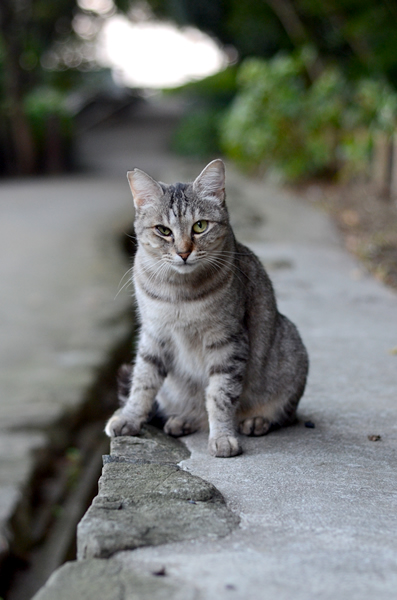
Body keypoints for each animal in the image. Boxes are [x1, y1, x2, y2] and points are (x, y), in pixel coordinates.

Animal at [103, 159, 308, 460]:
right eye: (163, 230)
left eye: (200, 226)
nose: (183, 252)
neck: (178, 292)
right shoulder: (153, 335)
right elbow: (142, 382)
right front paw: (128, 418)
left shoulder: (227, 341)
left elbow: (220, 395)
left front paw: (222, 437)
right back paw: (182, 420)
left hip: (290, 350)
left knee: (285, 414)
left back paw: (256, 420)